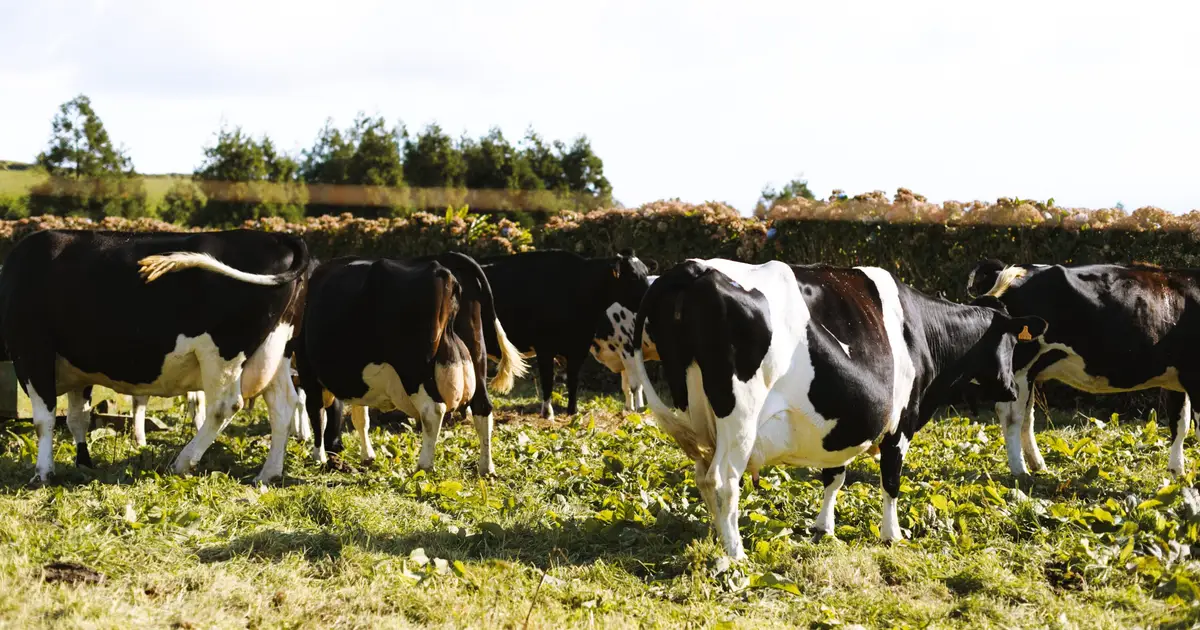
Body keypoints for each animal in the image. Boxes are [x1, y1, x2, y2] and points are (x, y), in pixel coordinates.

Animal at [0, 229, 309, 485]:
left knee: (224, 406)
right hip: (275, 350)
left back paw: (183, 462)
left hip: (224, 352)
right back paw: (267, 474)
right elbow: (78, 418)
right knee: (283, 404)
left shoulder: (32, 352)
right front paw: (83, 463)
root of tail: (277, 237)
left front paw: (43, 472)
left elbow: (45, 419)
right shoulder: (79, 368)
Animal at [293, 252, 526, 475]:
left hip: (415, 368)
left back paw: (423, 465)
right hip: (477, 353)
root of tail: (445, 260)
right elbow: (360, 416)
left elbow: (317, 413)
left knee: (433, 410)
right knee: (482, 407)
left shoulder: (308, 371)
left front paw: (319, 457)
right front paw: (367, 456)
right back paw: (486, 468)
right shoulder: (355, 380)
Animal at [479, 250, 653, 419]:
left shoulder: (579, 346)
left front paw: (572, 412)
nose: (649, 297)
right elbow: (548, 380)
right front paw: (547, 413)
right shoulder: (545, 347)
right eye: (632, 275)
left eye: (645, 272)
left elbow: (573, 380)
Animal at [630, 259, 1047, 559]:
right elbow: (891, 481)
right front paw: (892, 535)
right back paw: (736, 555)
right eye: (1012, 342)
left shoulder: (840, 423)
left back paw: (718, 538)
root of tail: (694, 269)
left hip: (699, 416)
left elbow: (834, 475)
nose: (1012, 388)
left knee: (703, 477)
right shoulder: (901, 423)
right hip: (739, 418)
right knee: (722, 480)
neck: (923, 331)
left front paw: (823, 527)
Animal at [966, 259, 1200, 478]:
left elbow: (1180, 424)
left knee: (1026, 416)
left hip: (1029, 372)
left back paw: (1037, 465)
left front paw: (1177, 472)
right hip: (1020, 366)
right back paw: (1020, 471)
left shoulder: (1177, 379)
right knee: (1011, 415)